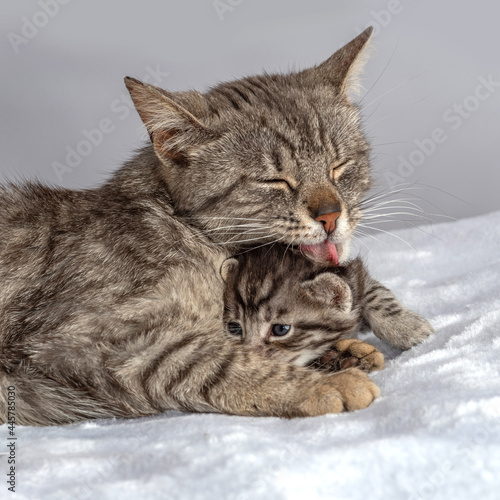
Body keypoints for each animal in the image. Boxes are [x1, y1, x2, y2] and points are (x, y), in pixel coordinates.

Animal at [221, 246, 432, 372]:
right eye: (234, 328)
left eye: (281, 330)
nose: (249, 359)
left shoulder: (349, 271)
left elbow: (372, 290)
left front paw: (407, 328)